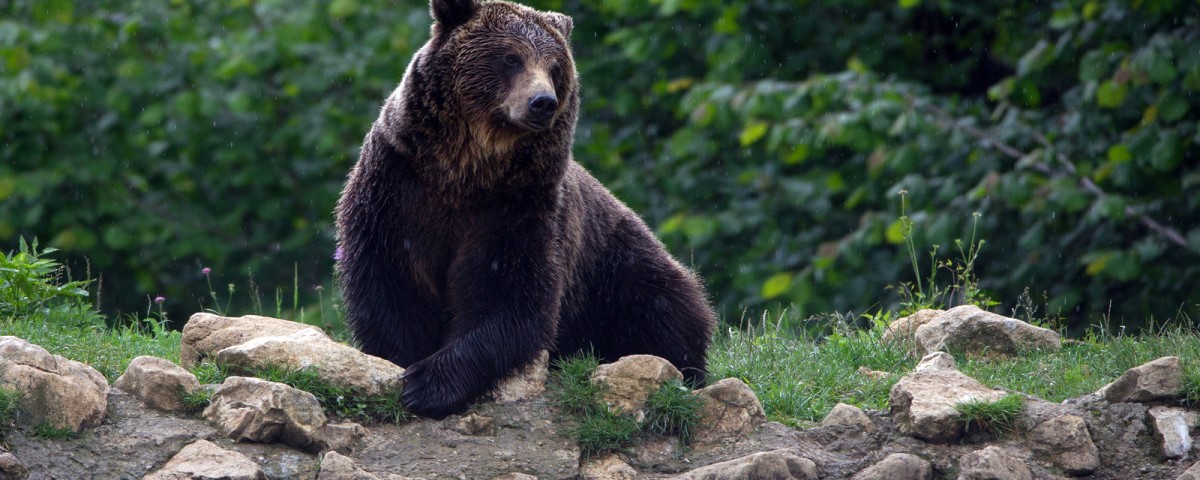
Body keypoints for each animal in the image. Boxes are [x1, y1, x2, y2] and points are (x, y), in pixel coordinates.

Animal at [333, 0, 715, 420]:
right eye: (511, 58)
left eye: (555, 67)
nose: (542, 102)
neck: (464, 171)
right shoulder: (397, 187)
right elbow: (390, 281)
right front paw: (403, 363)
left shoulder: (519, 207)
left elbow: (512, 295)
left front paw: (429, 384)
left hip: (617, 265)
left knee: (667, 308)